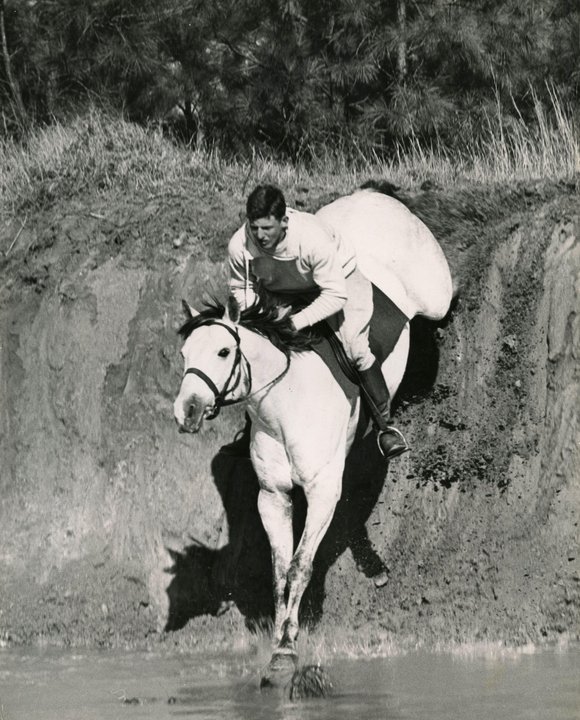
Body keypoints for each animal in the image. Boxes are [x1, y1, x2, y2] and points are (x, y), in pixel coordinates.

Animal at [172, 184, 454, 668]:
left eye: (224, 352)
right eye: (185, 353)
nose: (186, 410)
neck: (283, 408)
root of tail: (375, 195)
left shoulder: (323, 491)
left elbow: (302, 563)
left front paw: (287, 645)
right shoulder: (274, 496)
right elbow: (280, 569)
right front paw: (279, 638)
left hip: (424, 292)